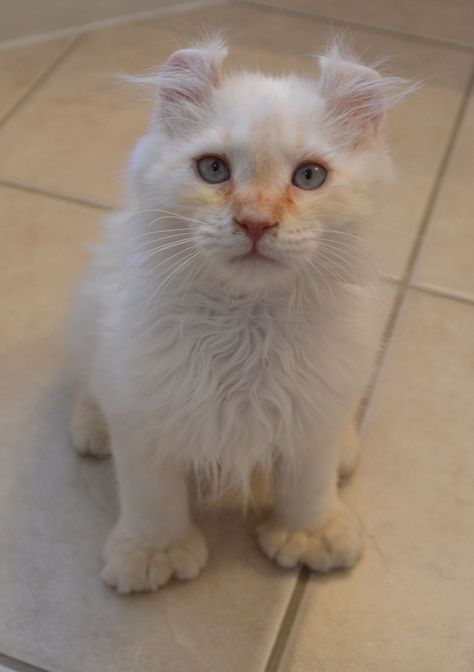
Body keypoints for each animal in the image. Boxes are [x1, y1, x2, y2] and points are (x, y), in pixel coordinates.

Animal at [68, 39, 410, 592]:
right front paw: (151, 553)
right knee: (86, 384)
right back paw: (92, 429)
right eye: (213, 170)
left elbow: (309, 486)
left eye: (309, 176)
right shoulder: (144, 413)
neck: (247, 323)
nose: (255, 222)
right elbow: (151, 497)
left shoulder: (311, 410)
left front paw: (311, 536)